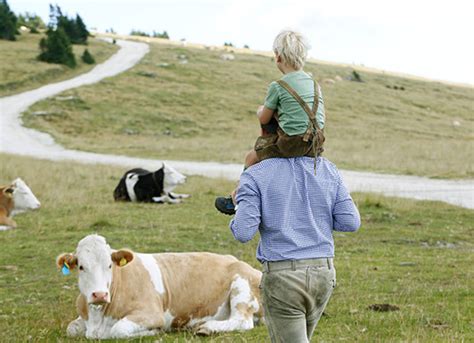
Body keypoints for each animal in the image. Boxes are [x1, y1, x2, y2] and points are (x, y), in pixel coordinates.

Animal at [57, 235, 262, 340]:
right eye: (81, 267)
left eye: (109, 265)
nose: (100, 294)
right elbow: (71, 328)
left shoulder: (151, 314)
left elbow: (118, 330)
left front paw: (154, 331)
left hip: (241, 286)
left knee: (243, 321)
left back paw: (207, 327)